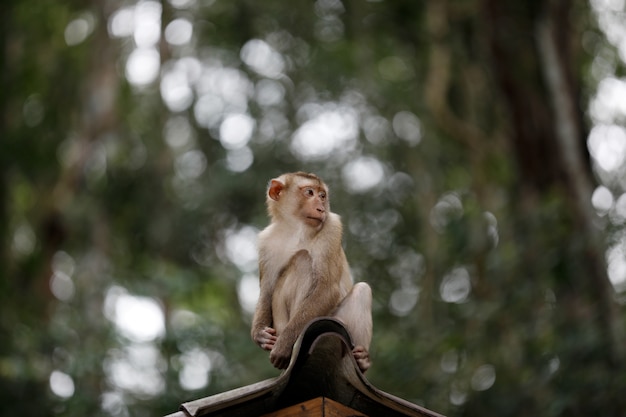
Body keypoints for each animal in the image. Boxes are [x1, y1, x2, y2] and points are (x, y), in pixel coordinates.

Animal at [251, 171, 372, 372]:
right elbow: (267, 291)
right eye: (309, 192)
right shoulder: (266, 242)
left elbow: (327, 289)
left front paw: (284, 344)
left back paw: (361, 360)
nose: (321, 208)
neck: (295, 229)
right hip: (281, 324)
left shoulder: (332, 227)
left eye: (322, 196)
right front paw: (260, 334)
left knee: (360, 289)